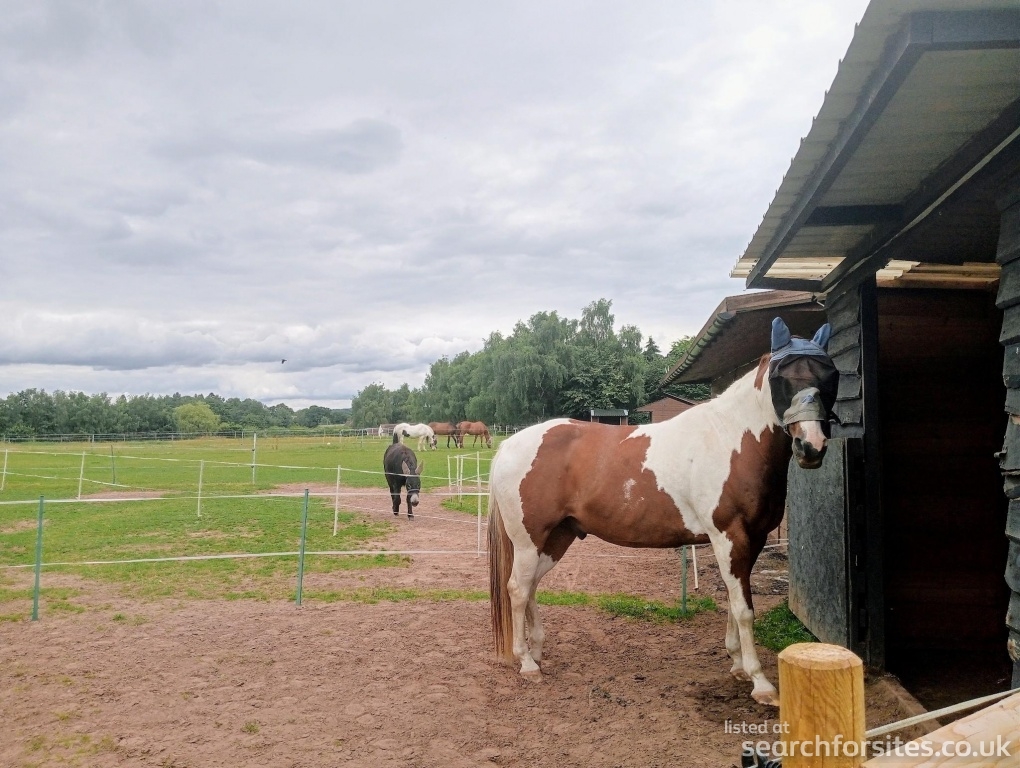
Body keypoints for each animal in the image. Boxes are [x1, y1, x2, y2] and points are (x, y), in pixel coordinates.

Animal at [487, 318, 837, 705]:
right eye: (780, 377)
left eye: (830, 374)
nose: (811, 446)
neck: (733, 440)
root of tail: (509, 444)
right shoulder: (729, 535)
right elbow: (744, 609)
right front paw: (760, 682)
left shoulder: (754, 538)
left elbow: (735, 601)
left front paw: (737, 665)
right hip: (529, 540)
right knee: (518, 589)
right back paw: (526, 663)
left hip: (556, 538)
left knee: (531, 585)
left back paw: (536, 652)